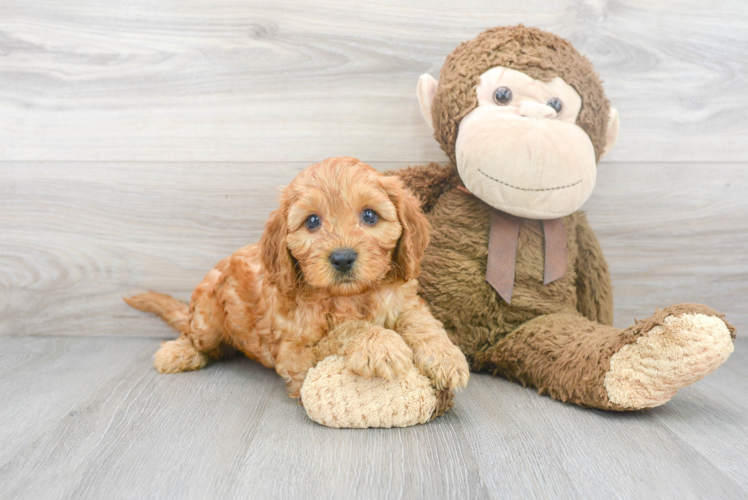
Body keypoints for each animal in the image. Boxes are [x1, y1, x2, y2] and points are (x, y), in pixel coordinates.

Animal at [125, 156, 470, 398]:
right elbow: (345, 330)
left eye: (370, 215)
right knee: (195, 335)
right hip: (208, 317)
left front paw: (446, 357)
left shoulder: (405, 300)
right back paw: (178, 352)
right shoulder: (296, 356)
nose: (342, 258)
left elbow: (422, 321)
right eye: (312, 221)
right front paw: (380, 342)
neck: (352, 297)